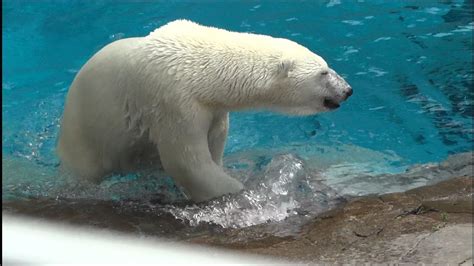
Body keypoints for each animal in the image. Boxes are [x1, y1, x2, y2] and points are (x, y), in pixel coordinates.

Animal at [56, 19, 352, 202]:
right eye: (323, 72)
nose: (347, 90)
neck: (200, 68)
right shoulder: (172, 101)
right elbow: (187, 162)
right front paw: (241, 190)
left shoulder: (213, 108)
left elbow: (214, 143)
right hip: (85, 136)